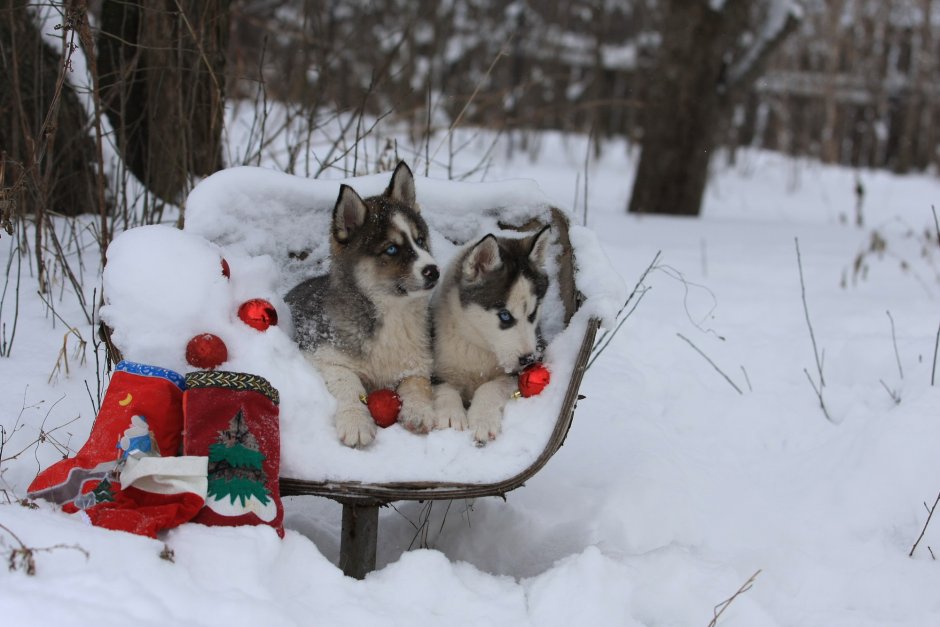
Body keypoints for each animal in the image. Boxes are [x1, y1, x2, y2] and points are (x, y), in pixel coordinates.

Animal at [284, 162, 438, 446]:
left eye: (420, 240)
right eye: (391, 249)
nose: (434, 271)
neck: (392, 314)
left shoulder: (418, 361)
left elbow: (416, 383)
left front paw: (419, 410)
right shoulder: (321, 357)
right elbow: (349, 383)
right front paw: (355, 421)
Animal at [432, 227, 556, 446]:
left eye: (533, 313)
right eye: (505, 316)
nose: (529, 359)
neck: (477, 345)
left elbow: (491, 386)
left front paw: (483, 420)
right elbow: (444, 386)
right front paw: (450, 415)